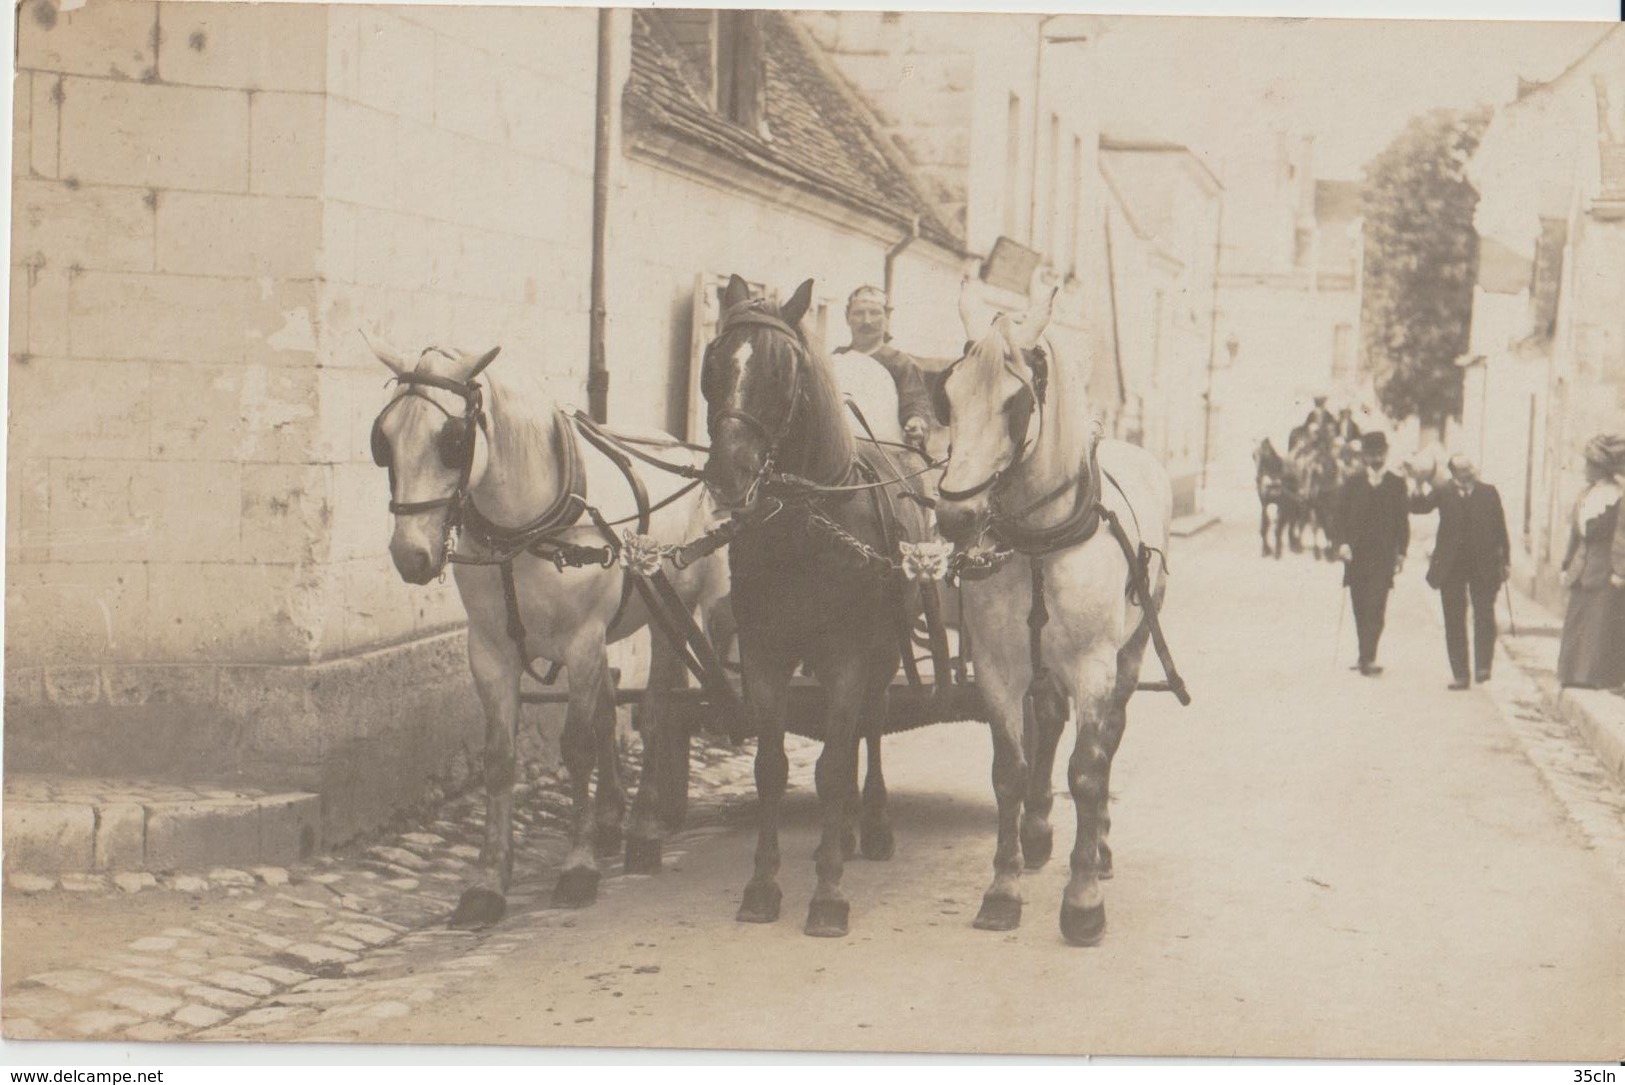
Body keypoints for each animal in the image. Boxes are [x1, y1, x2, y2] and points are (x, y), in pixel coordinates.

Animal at [368, 331, 731, 922]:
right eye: (384, 439)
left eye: (453, 439)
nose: (411, 556)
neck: (524, 530)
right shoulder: (490, 650)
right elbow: (500, 759)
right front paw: (488, 882)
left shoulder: (581, 640)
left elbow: (578, 746)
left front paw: (577, 869)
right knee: (609, 712)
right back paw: (609, 821)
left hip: (666, 615)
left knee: (656, 713)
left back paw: (644, 830)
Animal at [695, 276, 929, 935]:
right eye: (714, 361)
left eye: (782, 368)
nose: (728, 472)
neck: (805, 516)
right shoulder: (766, 654)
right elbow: (772, 766)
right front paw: (762, 887)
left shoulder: (849, 652)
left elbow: (830, 761)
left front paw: (827, 895)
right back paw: (844, 829)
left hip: (883, 648)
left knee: (868, 726)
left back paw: (869, 825)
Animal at [929, 284, 1183, 942]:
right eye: (948, 392)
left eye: (1018, 400)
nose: (956, 517)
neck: (1040, 540)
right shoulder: (998, 667)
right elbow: (1010, 771)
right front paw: (1003, 889)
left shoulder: (1094, 665)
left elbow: (1088, 772)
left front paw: (1084, 899)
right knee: (1046, 721)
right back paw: (1039, 831)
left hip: (1130, 651)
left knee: (1108, 737)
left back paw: (1100, 849)